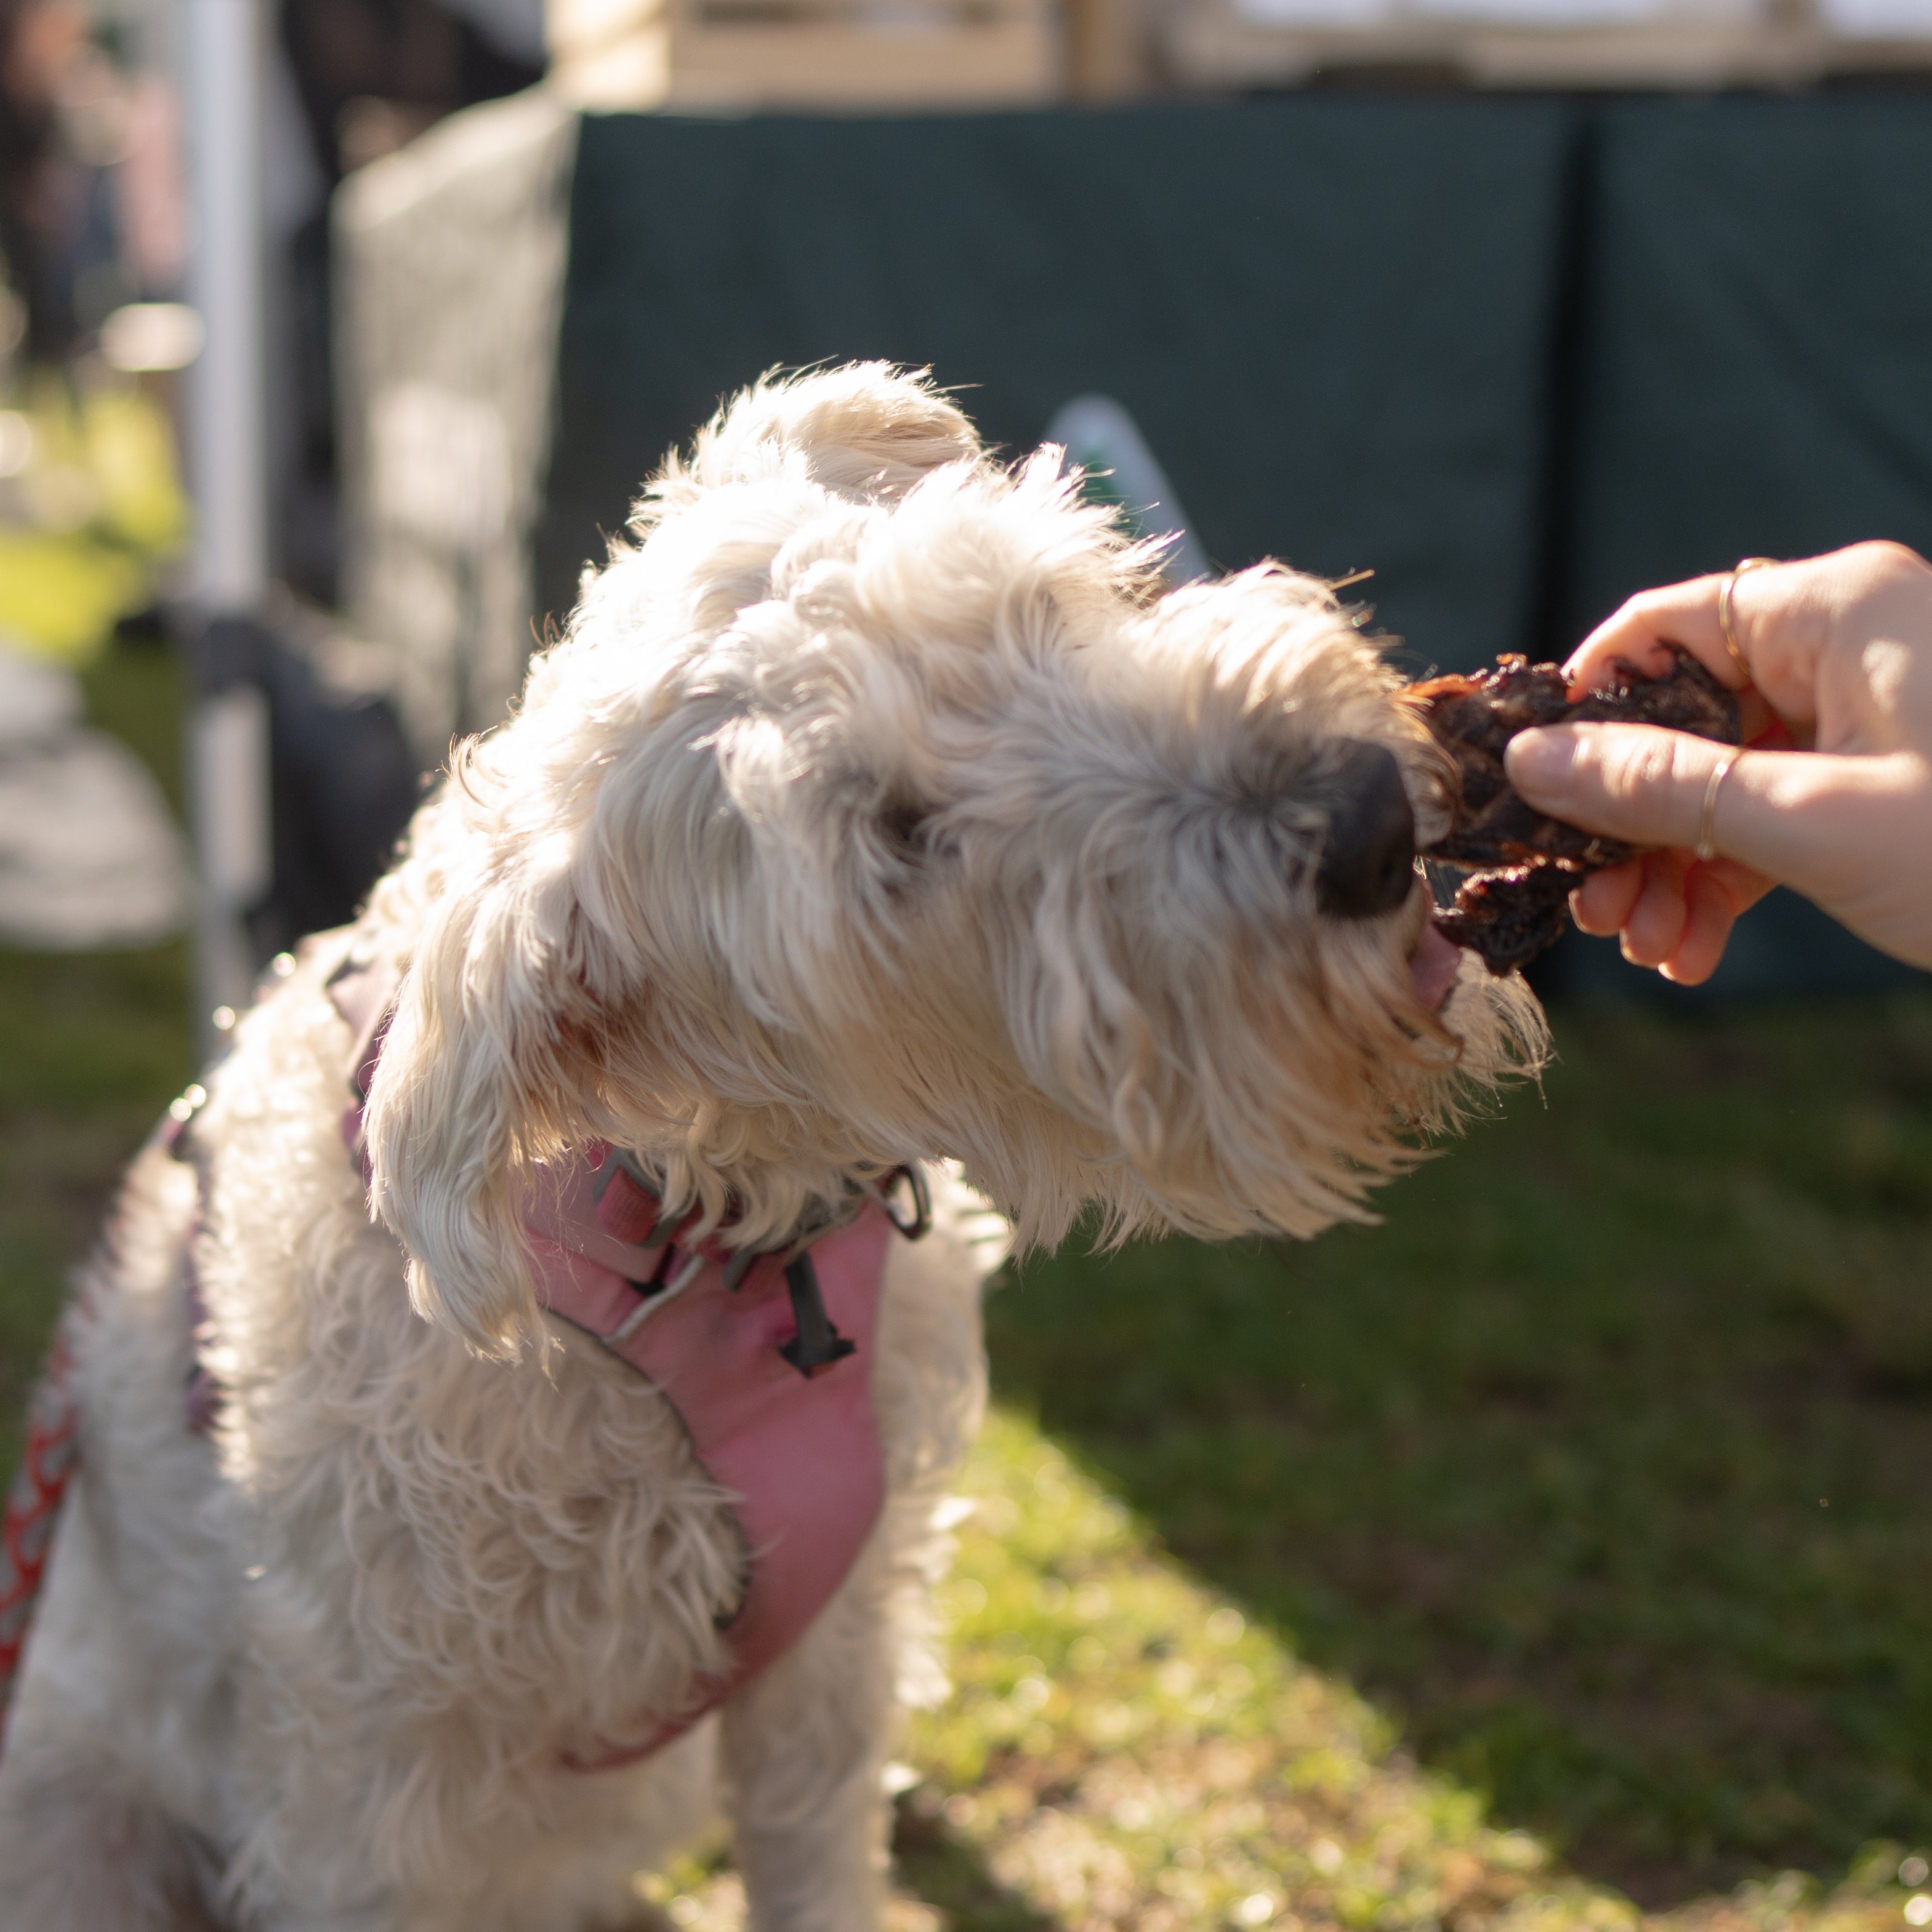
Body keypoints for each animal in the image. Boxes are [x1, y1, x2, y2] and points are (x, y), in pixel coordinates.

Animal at [0, 365, 1537, 1932]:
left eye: (1034, 607)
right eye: (900, 835)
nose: (1363, 823)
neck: (684, 1230)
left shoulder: (829, 1667)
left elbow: (815, 1865)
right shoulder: (366, 1798)